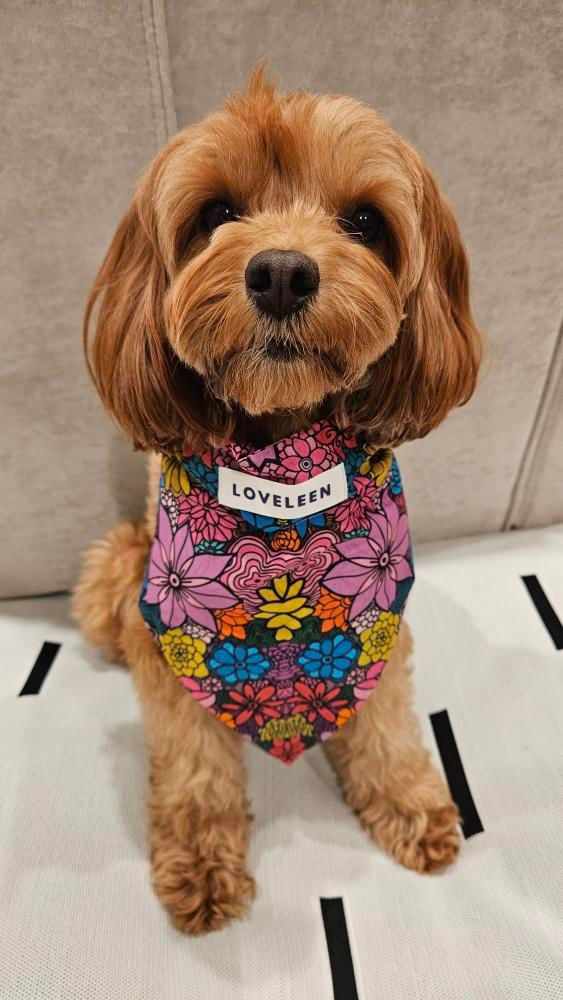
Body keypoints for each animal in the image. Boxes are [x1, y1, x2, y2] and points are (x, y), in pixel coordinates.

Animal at [73, 67, 482, 934]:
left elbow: (386, 722)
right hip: (117, 569)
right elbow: (194, 765)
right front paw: (201, 861)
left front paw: (408, 802)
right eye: (216, 214)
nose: (283, 273)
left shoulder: (379, 623)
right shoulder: (175, 644)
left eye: (364, 221)